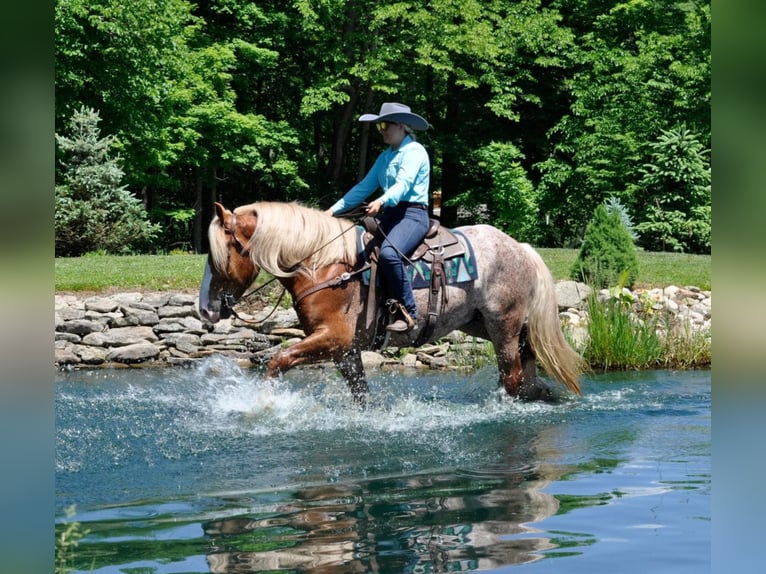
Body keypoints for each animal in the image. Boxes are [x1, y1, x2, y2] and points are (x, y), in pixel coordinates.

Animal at [198, 202, 584, 404]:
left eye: (219, 256)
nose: (205, 309)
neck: (323, 265)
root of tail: (521, 248)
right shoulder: (346, 350)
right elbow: (360, 393)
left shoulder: (333, 339)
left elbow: (278, 360)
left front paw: (262, 407)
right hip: (486, 324)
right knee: (528, 359)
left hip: (503, 325)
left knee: (512, 375)